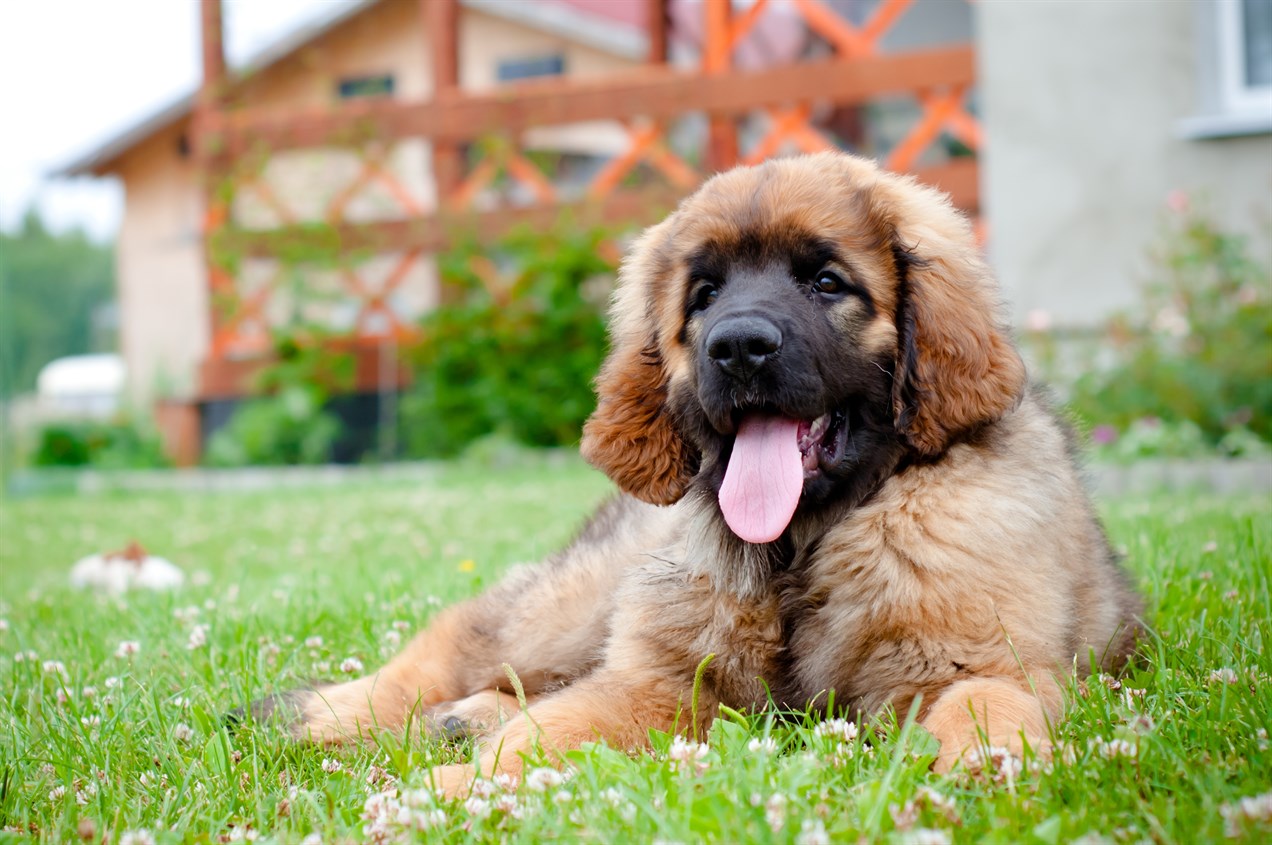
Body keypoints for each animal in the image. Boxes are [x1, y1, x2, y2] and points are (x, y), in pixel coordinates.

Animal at [260, 150, 1144, 794]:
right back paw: (320, 717)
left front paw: (989, 768)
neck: (802, 548)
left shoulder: (978, 658)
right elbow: (551, 730)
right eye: (705, 293)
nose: (739, 346)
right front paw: (458, 788)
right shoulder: (660, 680)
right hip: (569, 606)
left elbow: (989, 704)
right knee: (455, 644)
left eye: (827, 282)